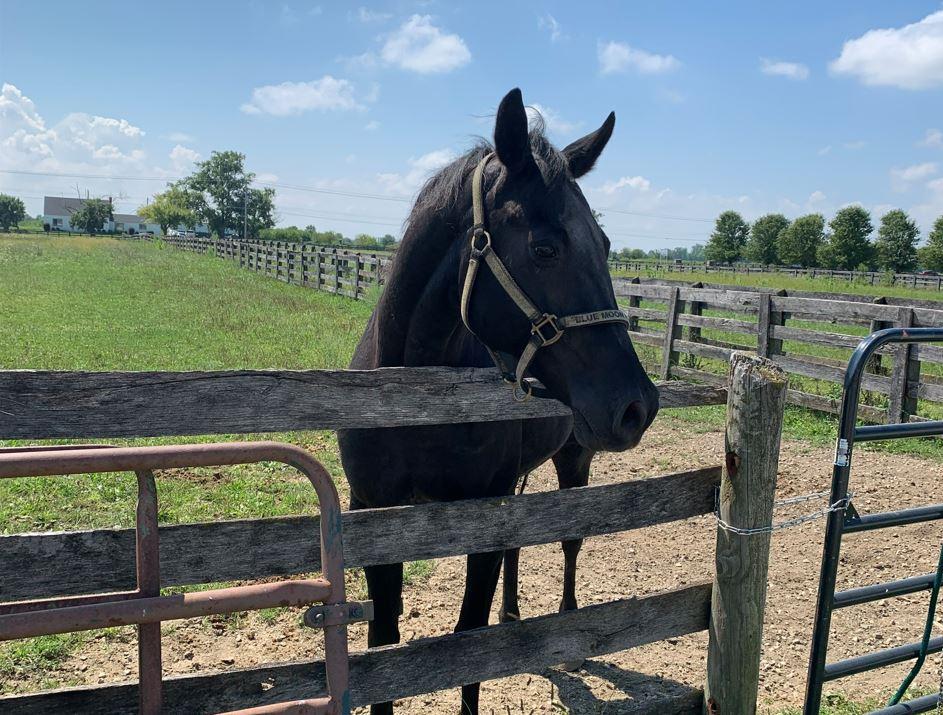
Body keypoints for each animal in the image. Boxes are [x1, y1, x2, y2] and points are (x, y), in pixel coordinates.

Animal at [337, 88, 660, 715]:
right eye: (545, 247)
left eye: (607, 244)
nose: (638, 405)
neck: (414, 403)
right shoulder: (373, 513)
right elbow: (384, 642)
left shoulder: (482, 520)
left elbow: (470, 642)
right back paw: (514, 613)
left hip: (574, 461)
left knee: (569, 542)